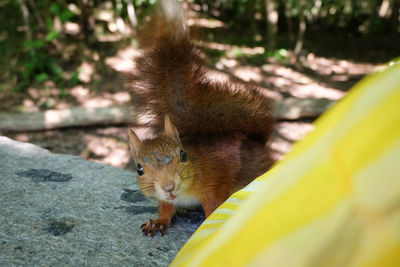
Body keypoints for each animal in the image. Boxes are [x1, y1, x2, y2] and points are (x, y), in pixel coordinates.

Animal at [128, 0, 276, 239]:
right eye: (139, 168)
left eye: (183, 155)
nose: (168, 187)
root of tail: (258, 144)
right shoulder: (165, 200)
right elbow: (166, 209)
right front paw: (157, 222)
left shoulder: (214, 185)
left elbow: (215, 209)